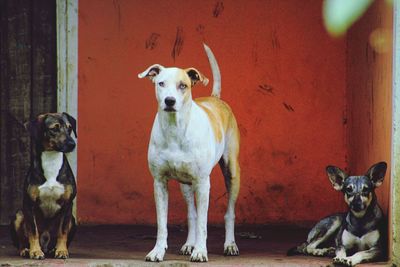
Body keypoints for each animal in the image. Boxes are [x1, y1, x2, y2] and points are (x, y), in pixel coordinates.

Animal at [10, 112, 77, 260]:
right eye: (54, 128)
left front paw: (61, 251)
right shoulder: (29, 204)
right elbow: (33, 231)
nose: (72, 144)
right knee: (22, 241)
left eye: (69, 128)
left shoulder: (68, 204)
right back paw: (26, 250)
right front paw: (35, 251)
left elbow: (63, 231)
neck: (51, 160)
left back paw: (53, 249)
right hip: (18, 215)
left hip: (73, 220)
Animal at [139, 44, 241, 264]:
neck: (174, 129)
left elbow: (203, 222)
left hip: (232, 172)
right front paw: (158, 251)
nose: (169, 101)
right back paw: (189, 244)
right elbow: (163, 223)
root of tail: (215, 98)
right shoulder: (159, 182)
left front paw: (201, 251)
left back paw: (230, 245)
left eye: (183, 86)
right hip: (185, 184)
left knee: (229, 213)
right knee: (192, 214)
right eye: (161, 83)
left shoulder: (203, 183)